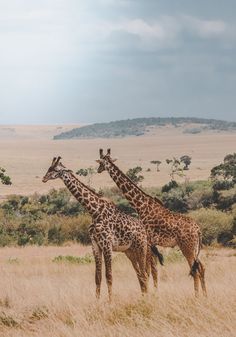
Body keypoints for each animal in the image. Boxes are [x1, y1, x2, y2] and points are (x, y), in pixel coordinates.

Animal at [42, 156, 148, 300]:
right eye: (49, 168)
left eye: (55, 170)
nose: (44, 178)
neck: (95, 212)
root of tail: (144, 230)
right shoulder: (95, 245)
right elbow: (97, 277)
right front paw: (97, 301)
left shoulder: (107, 245)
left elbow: (109, 276)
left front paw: (110, 301)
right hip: (130, 251)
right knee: (140, 274)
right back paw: (143, 297)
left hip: (142, 247)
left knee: (145, 273)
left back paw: (148, 297)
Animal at [96, 148, 206, 296]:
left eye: (101, 162)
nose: (98, 170)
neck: (140, 204)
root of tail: (198, 230)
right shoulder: (151, 243)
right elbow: (153, 270)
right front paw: (154, 293)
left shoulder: (147, 241)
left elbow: (148, 270)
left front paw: (149, 294)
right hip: (194, 248)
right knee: (201, 267)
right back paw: (205, 295)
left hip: (187, 247)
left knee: (195, 270)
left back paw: (196, 296)